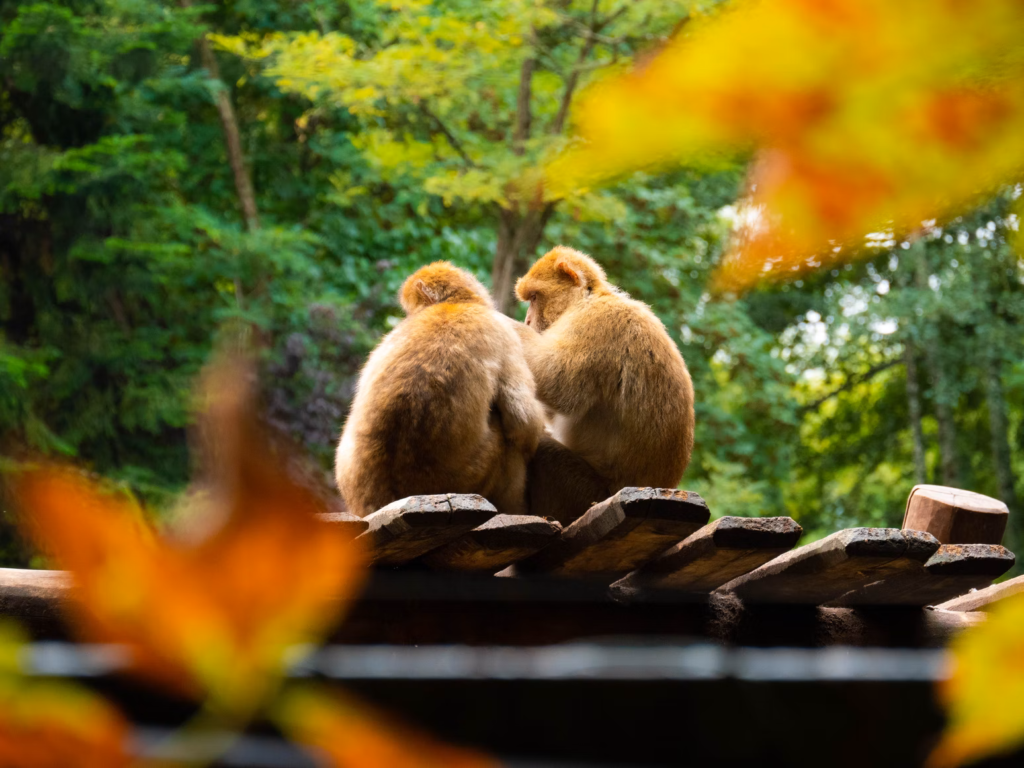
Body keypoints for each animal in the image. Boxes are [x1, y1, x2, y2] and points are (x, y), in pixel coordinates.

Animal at [333, 262, 544, 520]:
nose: (408, 316)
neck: (453, 305)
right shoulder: (502, 331)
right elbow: (523, 423)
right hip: (473, 476)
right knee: (509, 441)